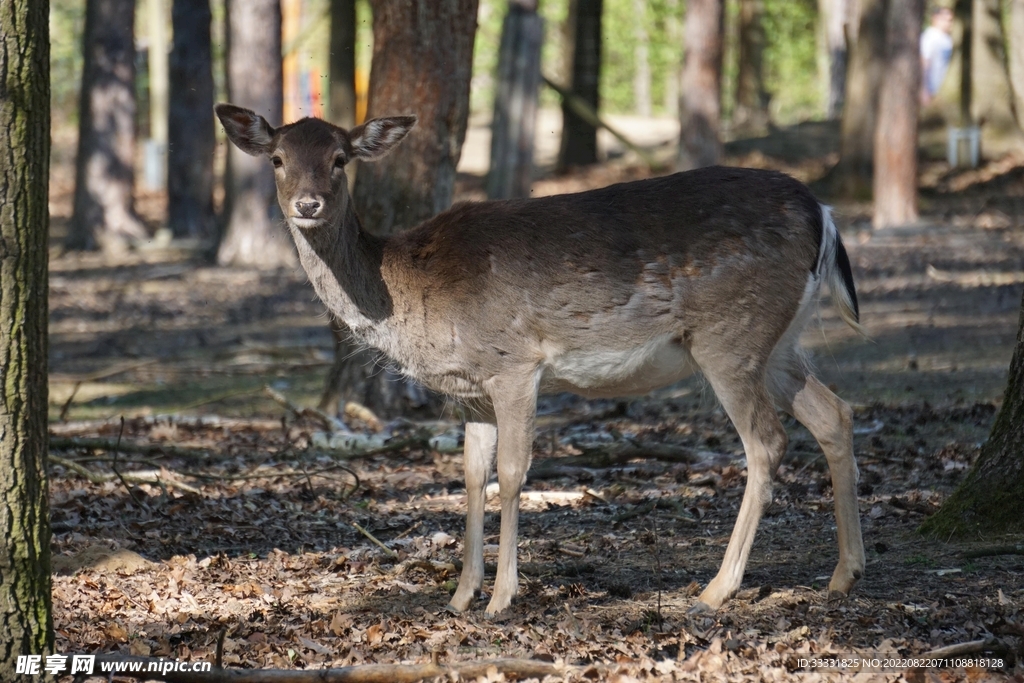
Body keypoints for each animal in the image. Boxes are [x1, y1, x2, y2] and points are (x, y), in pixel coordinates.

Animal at [214, 103, 866, 617]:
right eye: (277, 158)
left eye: (340, 158)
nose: (308, 204)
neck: (407, 298)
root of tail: (825, 213)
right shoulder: (471, 390)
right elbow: (470, 475)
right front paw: (459, 596)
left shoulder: (515, 364)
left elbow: (511, 472)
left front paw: (502, 597)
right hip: (779, 342)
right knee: (835, 412)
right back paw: (844, 574)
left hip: (730, 335)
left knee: (767, 442)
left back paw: (717, 588)